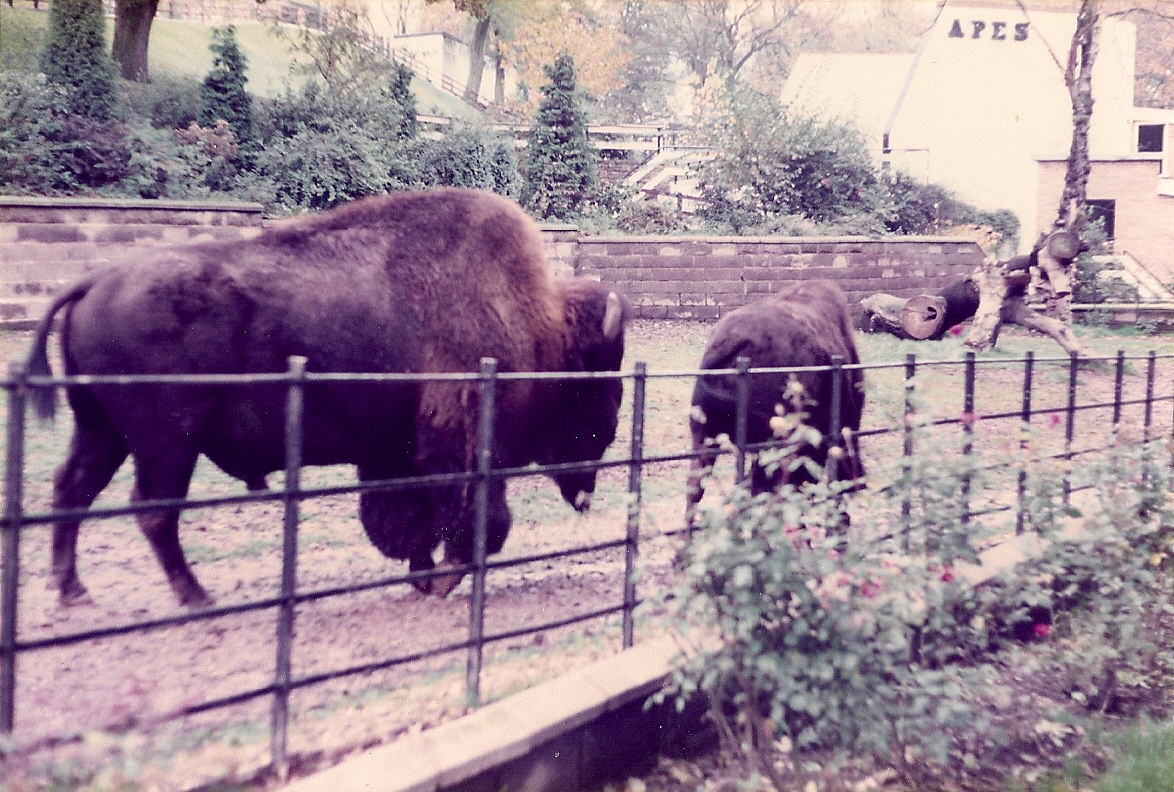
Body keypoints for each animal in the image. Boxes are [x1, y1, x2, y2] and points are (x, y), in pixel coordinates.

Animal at [26, 188, 630, 608]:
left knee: (74, 489)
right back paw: (196, 597)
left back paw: (73, 590)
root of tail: (93, 281)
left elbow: (401, 520)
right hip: (167, 443)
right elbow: (473, 518)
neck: (534, 326)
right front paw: (441, 579)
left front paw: (421, 576)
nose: (586, 493)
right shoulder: (460, 448)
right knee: (153, 511)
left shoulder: (392, 455)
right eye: (597, 385)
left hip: (103, 430)